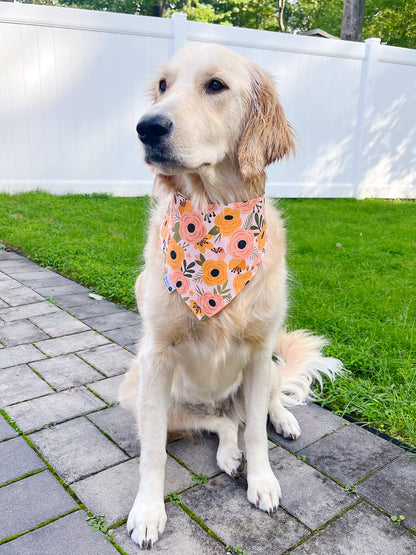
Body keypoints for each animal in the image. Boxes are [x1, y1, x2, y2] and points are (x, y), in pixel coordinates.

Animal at [119, 43, 342, 548]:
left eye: (216, 85)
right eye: (163, 86)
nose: (147, 127)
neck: (214, 217)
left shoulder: (260, 353)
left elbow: (256, 431)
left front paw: (262, 481)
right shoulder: (155, 358)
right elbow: (153, 452)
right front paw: (148, 511)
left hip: (270, 365)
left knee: (258, 411)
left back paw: (283, 421)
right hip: (140, 392)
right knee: (221, 423)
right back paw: (226, 453)